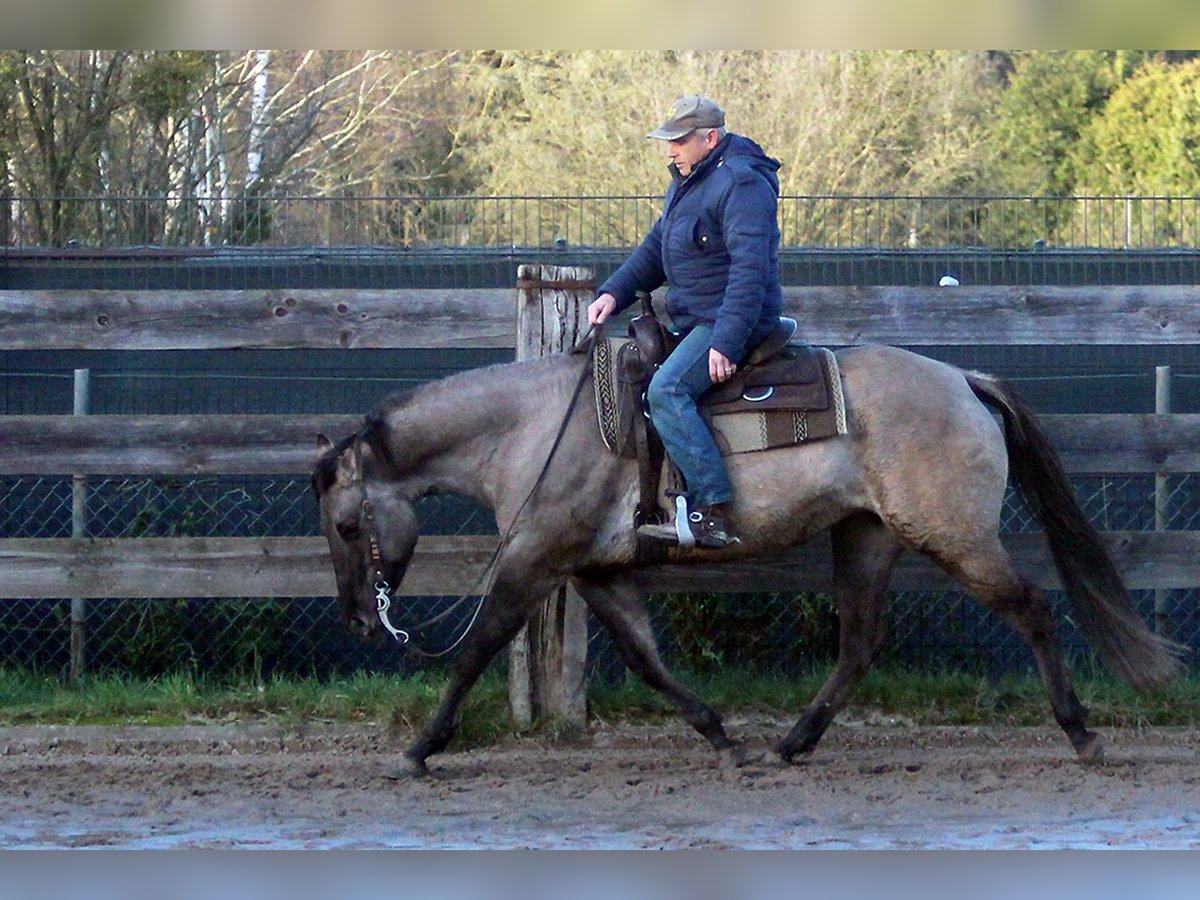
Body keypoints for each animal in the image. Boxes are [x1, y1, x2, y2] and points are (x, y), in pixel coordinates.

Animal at [309, 340, 1180, 777]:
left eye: (348, 526)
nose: (358, 621)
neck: (533, 428)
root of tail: (964, 381)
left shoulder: (534, 560)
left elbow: (479, 649)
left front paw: (421, 749)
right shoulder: (597, 572)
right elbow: (647, 659)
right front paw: (722, 737)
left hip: (954, 535)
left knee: (1030, 608)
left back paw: (1082, 735)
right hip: (866, 535)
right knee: (858, 644)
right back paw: (792, 744)